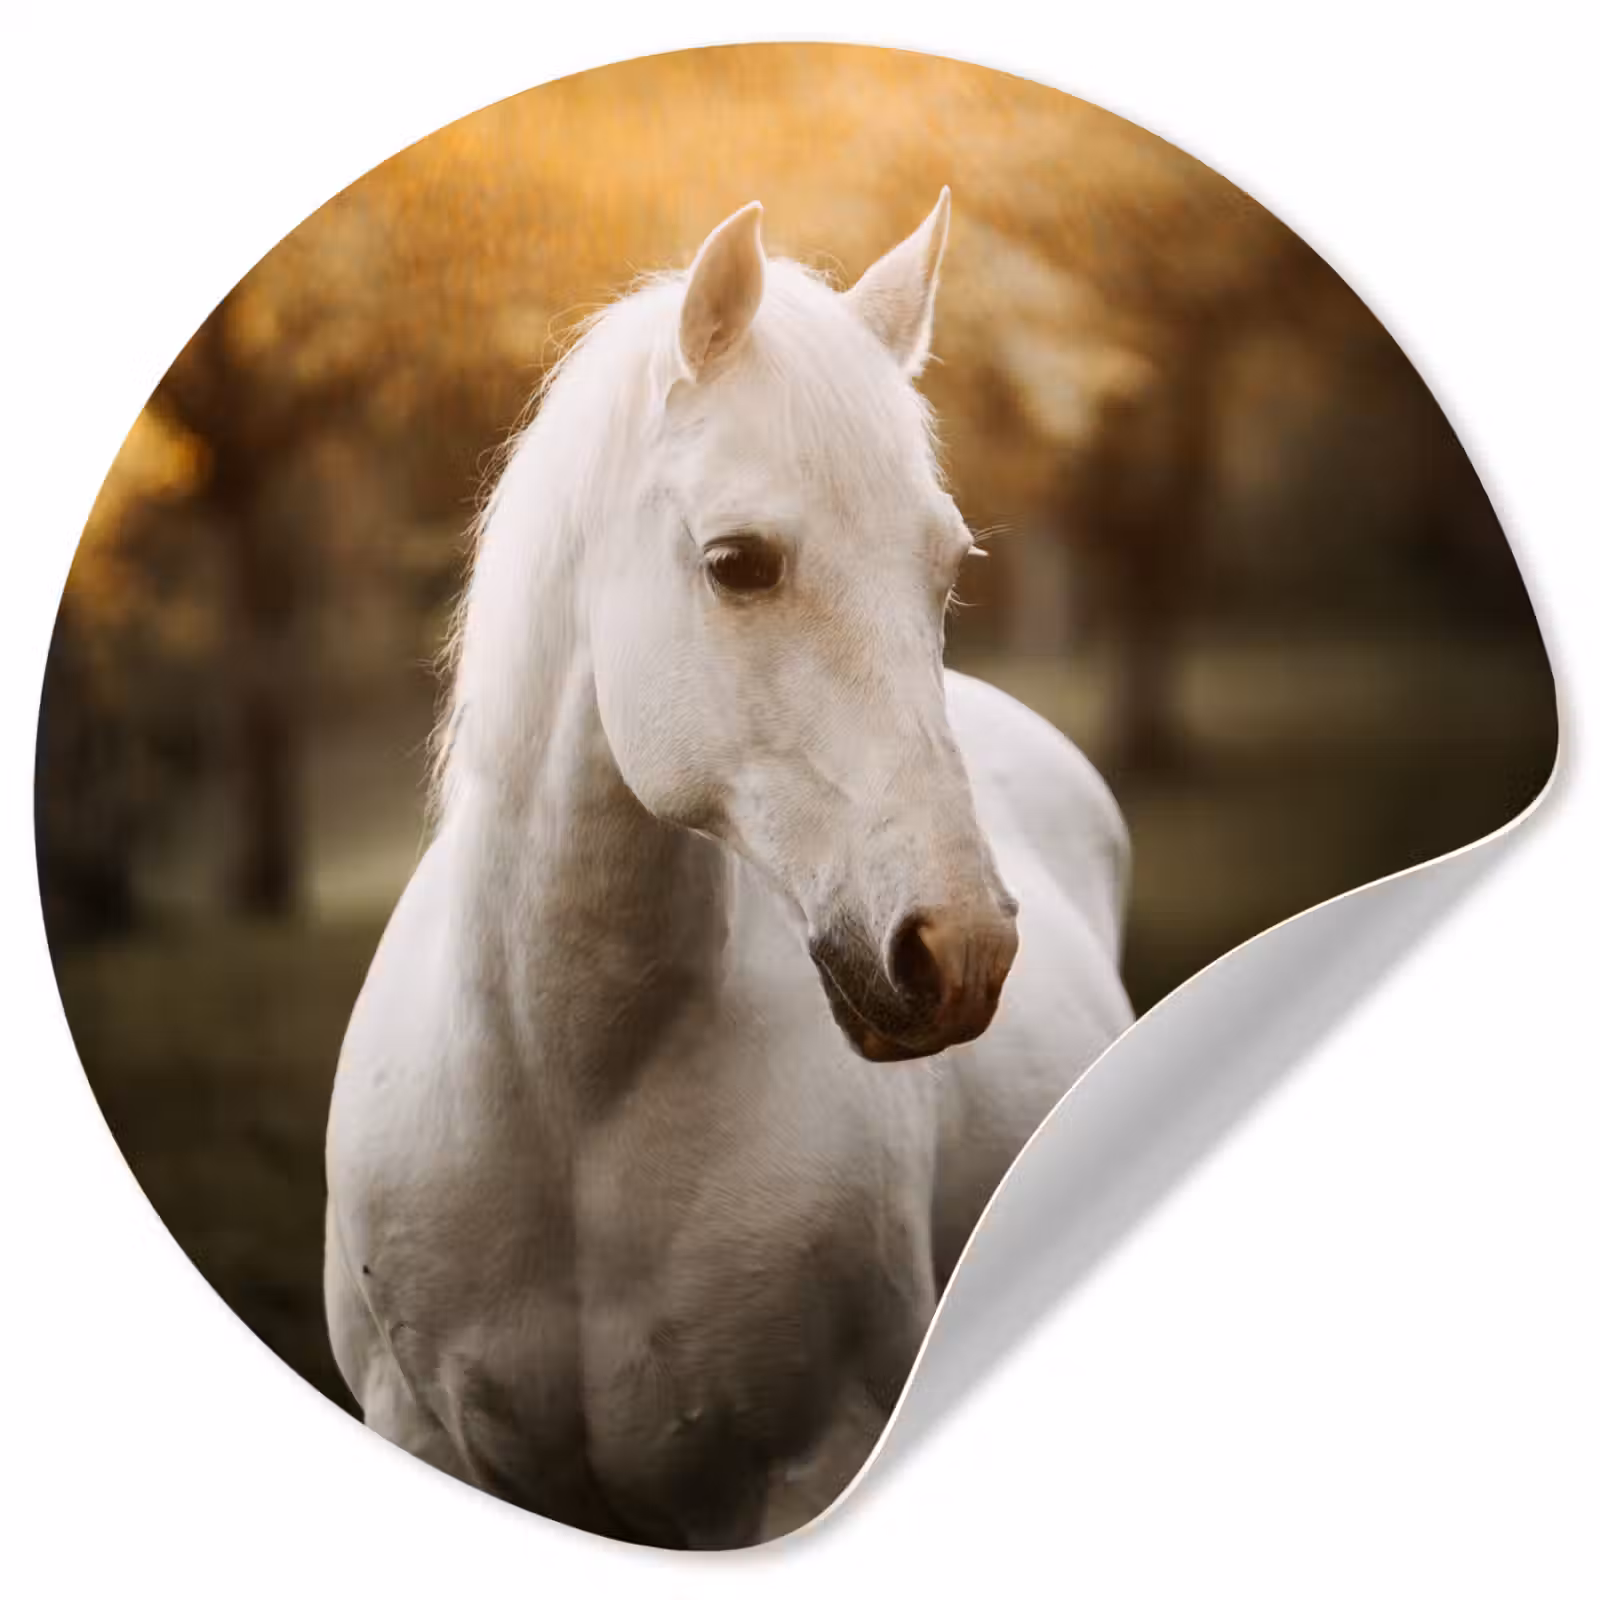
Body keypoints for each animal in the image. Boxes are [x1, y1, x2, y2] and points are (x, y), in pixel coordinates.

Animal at [324, 191, 1134, 1549]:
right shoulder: (420, 1433)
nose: (960, 948)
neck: (568, 1092)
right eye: (740, 561)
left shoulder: (811, 1464)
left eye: (946, 568)